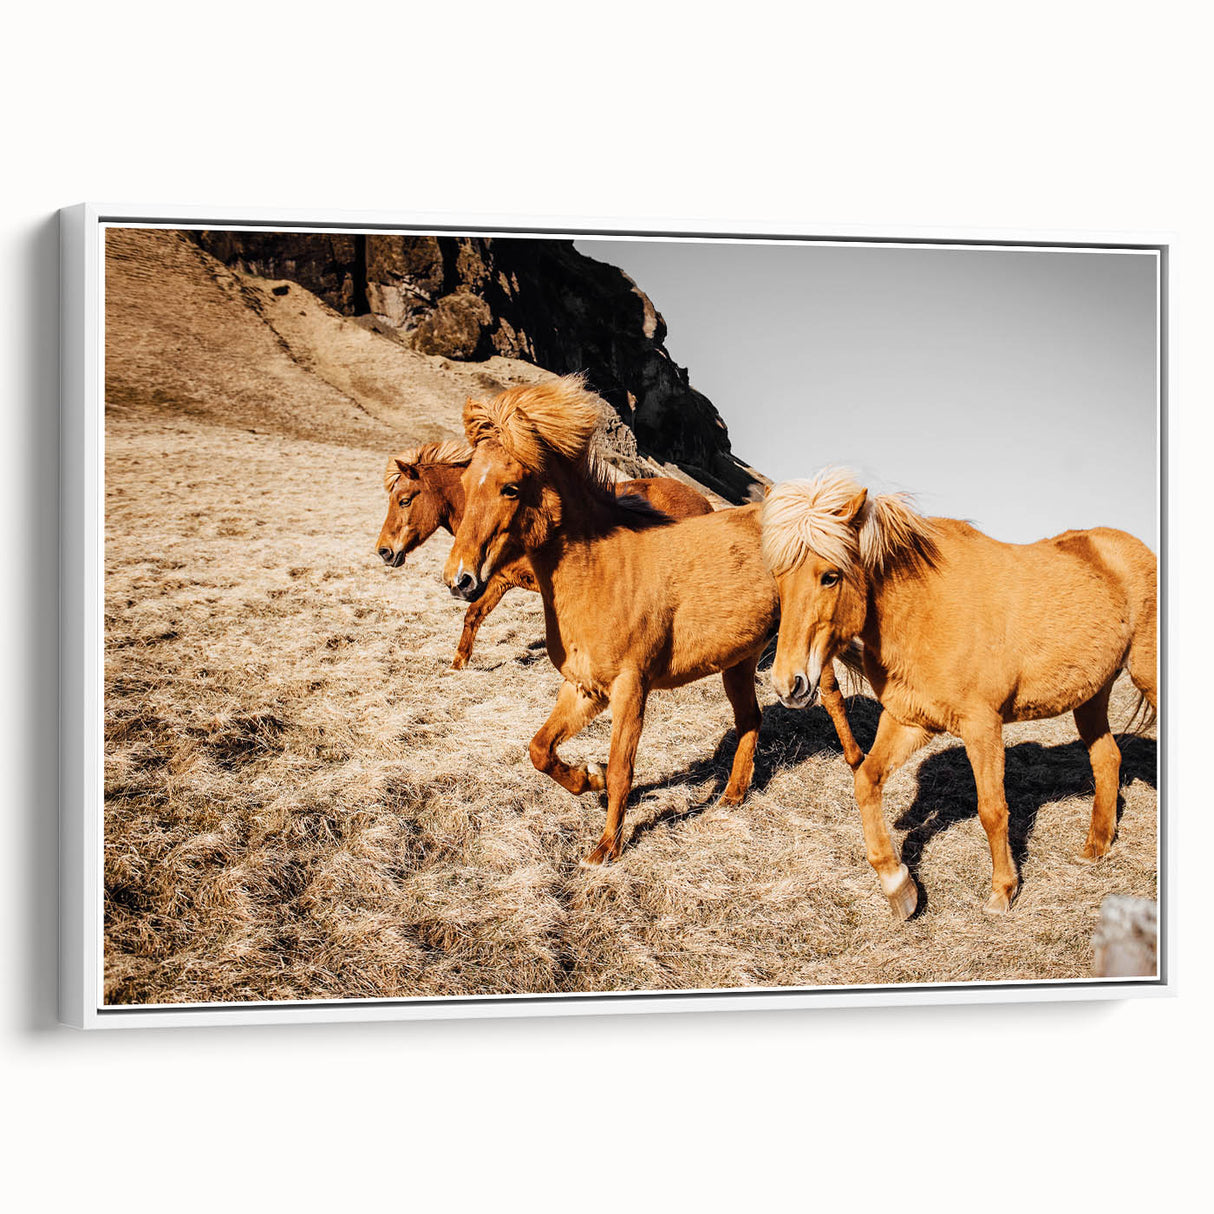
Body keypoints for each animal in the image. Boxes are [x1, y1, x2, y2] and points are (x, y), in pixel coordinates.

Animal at [376, 438, 713, 668]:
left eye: (404, 500)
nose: (384, 551)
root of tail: (704, 503)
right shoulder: (499, 581)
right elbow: (473, 615)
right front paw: (458, 664)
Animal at [442, 375, 865, 866]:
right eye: (465, 481)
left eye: (510, 487)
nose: (459, 579)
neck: (602, 571)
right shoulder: (583, 687)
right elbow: (540, 750)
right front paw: (589, 778)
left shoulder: (631, 688)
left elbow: (623, 768)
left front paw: (606, 847)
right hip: (739, 661)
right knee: (751, 719)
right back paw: (732, 797)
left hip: (805, 646)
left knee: (830, 696)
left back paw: (856, 761)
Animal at [762, 467, 1158, 919]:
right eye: (779, 578)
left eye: (830, 575)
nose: (789, 684)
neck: (924, 609)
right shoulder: (909, 719)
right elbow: (866, 780)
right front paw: (898, 884)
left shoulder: (982, 725)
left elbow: (992, 809)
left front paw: (1002, 891)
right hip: (1091, 695)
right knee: (1107, 759)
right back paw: (1095, 848)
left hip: (1146, 674)